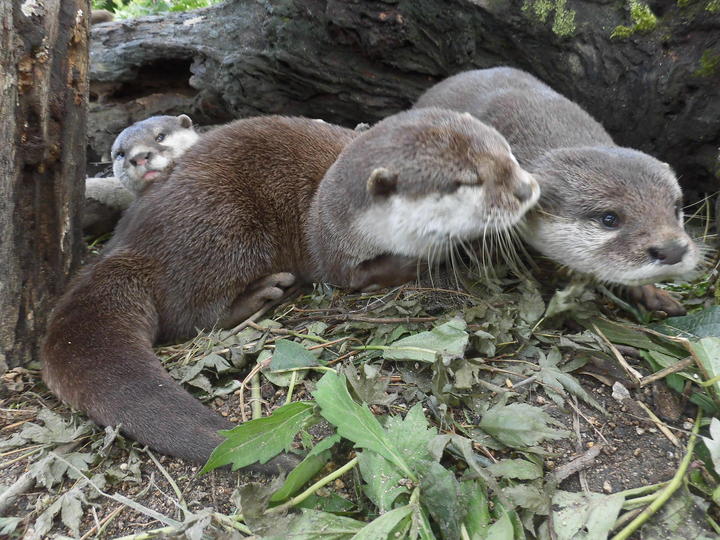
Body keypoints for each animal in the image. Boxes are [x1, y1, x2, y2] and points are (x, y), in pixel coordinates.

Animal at [42, 110, 536, 464]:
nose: (526, 188)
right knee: (192, 317)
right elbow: (358, 275)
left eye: (508, 153)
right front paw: (426, 257)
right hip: (223, 228)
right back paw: (265, 292)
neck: (331, 208)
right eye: (467, 182)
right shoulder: (331, 248)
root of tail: (126, 248)